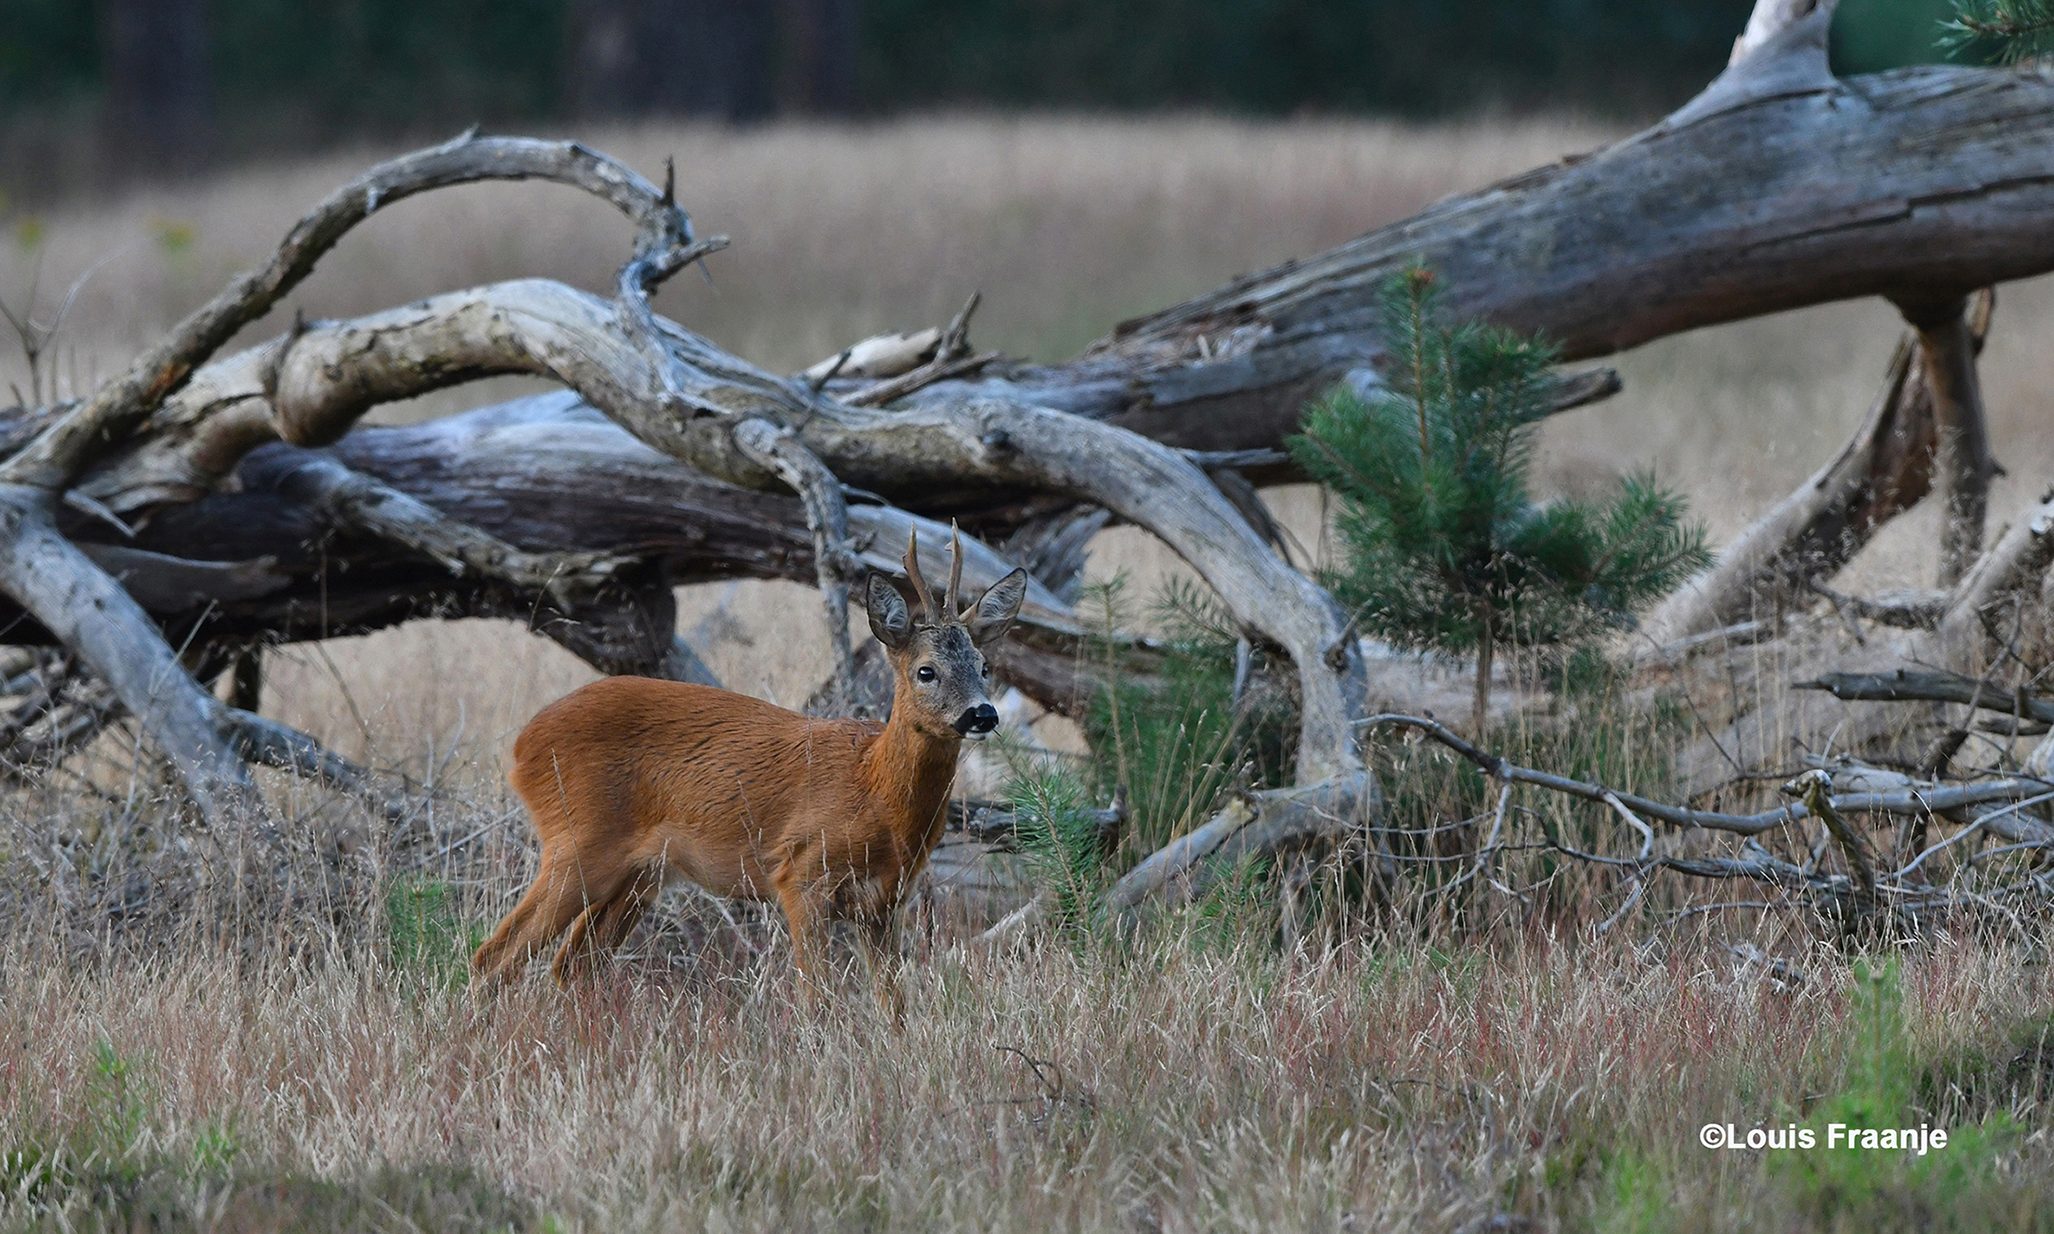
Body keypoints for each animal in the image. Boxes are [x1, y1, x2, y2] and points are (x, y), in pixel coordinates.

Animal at [470, 529, 1022, 1010]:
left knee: (572, 962)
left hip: (641, 872)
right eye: (926, 670)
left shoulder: (884, 902)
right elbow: (817, 996)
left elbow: (895, 1005)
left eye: (984, 666)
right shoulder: (800, 873)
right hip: (577, 842)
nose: (982, 714)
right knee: (494, 955)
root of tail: (522, 746)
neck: (875, 794)